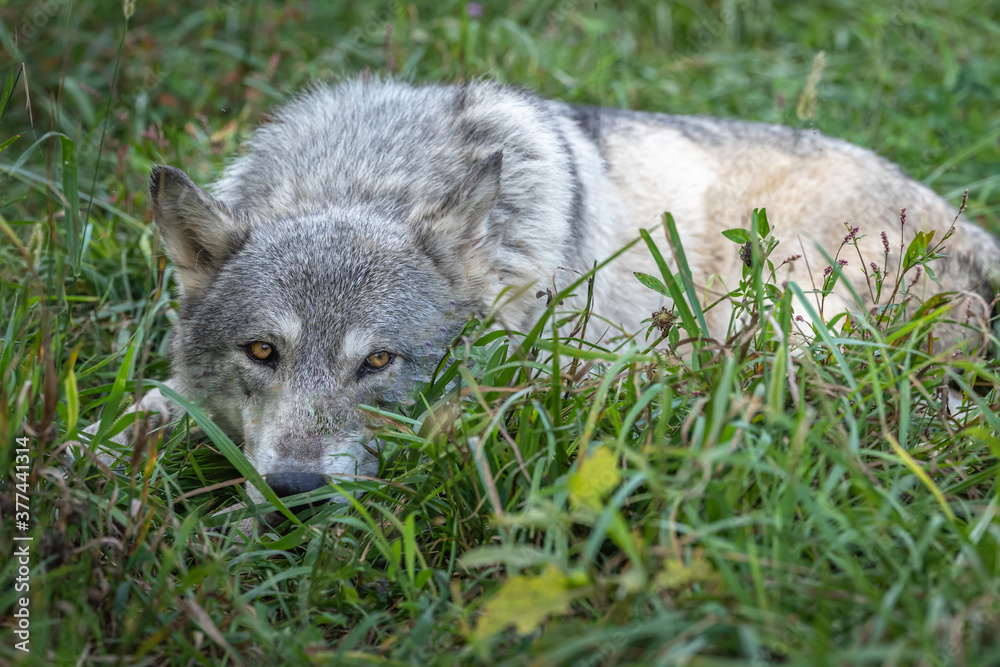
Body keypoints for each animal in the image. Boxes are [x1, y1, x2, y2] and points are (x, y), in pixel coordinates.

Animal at [88, 77, 999, 511]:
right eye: (261, 352)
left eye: (377, 362)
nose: (295, 492)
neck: (368, 177)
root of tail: (970, 227)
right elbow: (137, 415)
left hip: (780, 308)